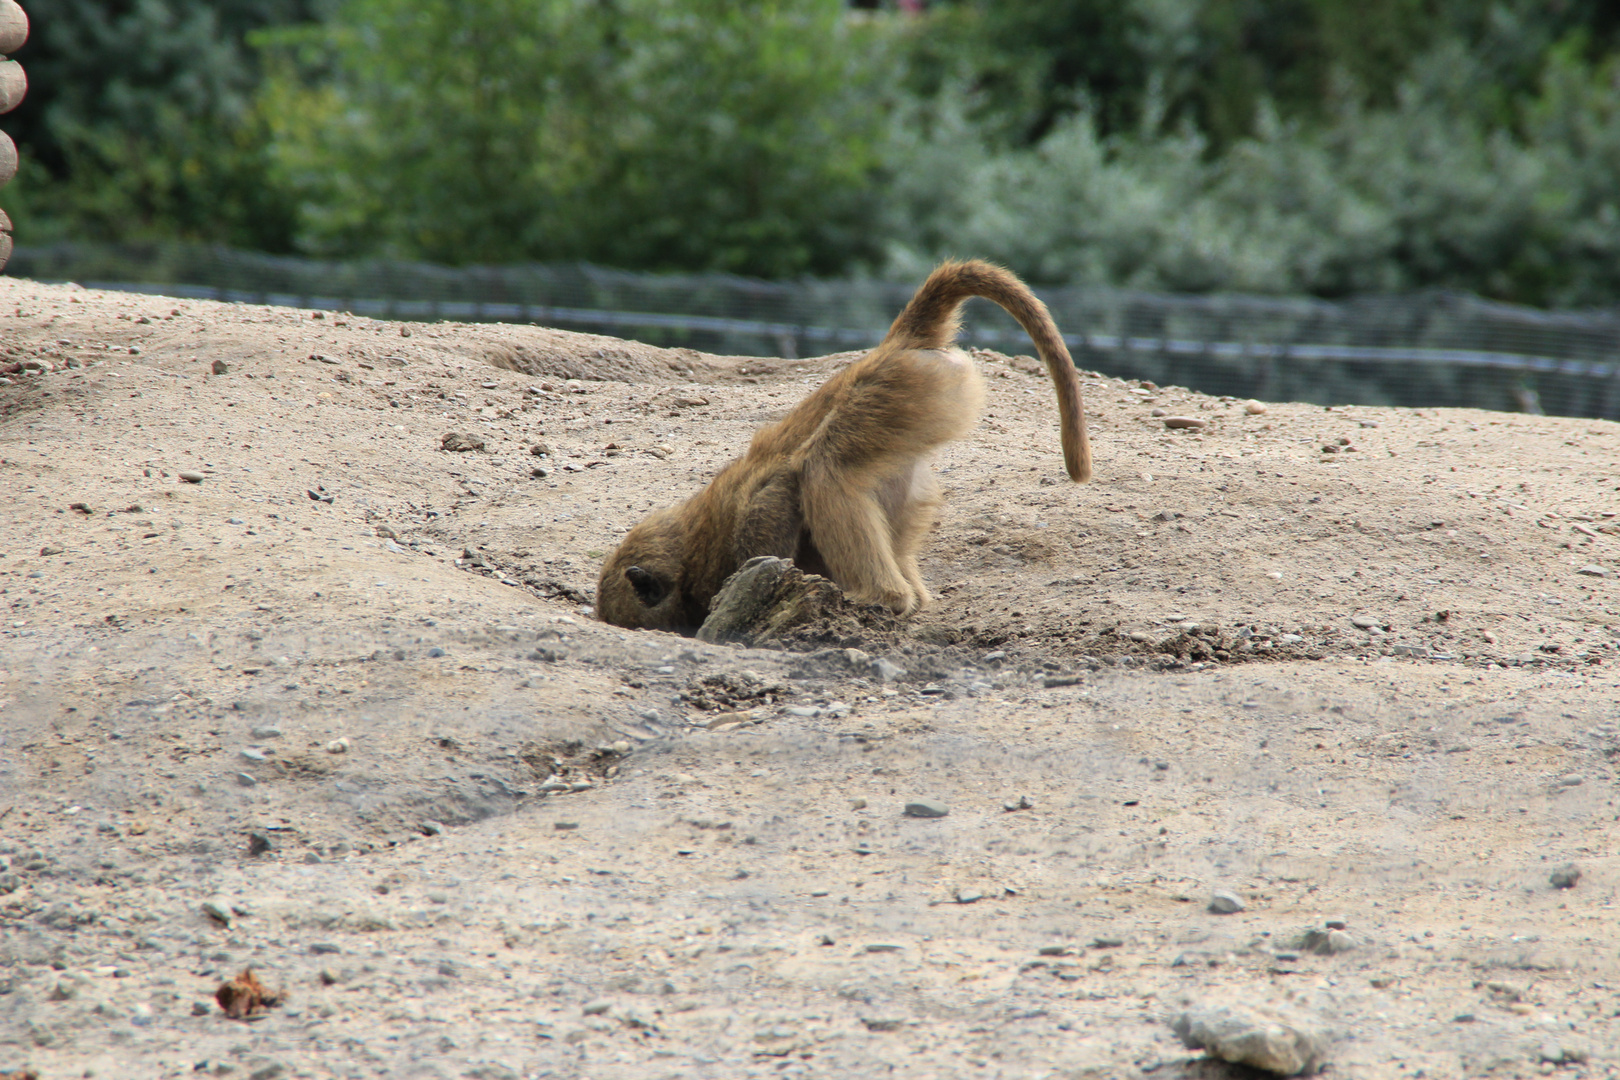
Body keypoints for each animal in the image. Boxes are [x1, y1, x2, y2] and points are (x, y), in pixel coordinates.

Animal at [596, 259, 1088, 634]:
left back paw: (884, 597)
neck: (691, 546)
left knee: (824, 469)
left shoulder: (748, 524)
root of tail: (895, 345)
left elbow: (778, 495)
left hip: (897, 391)